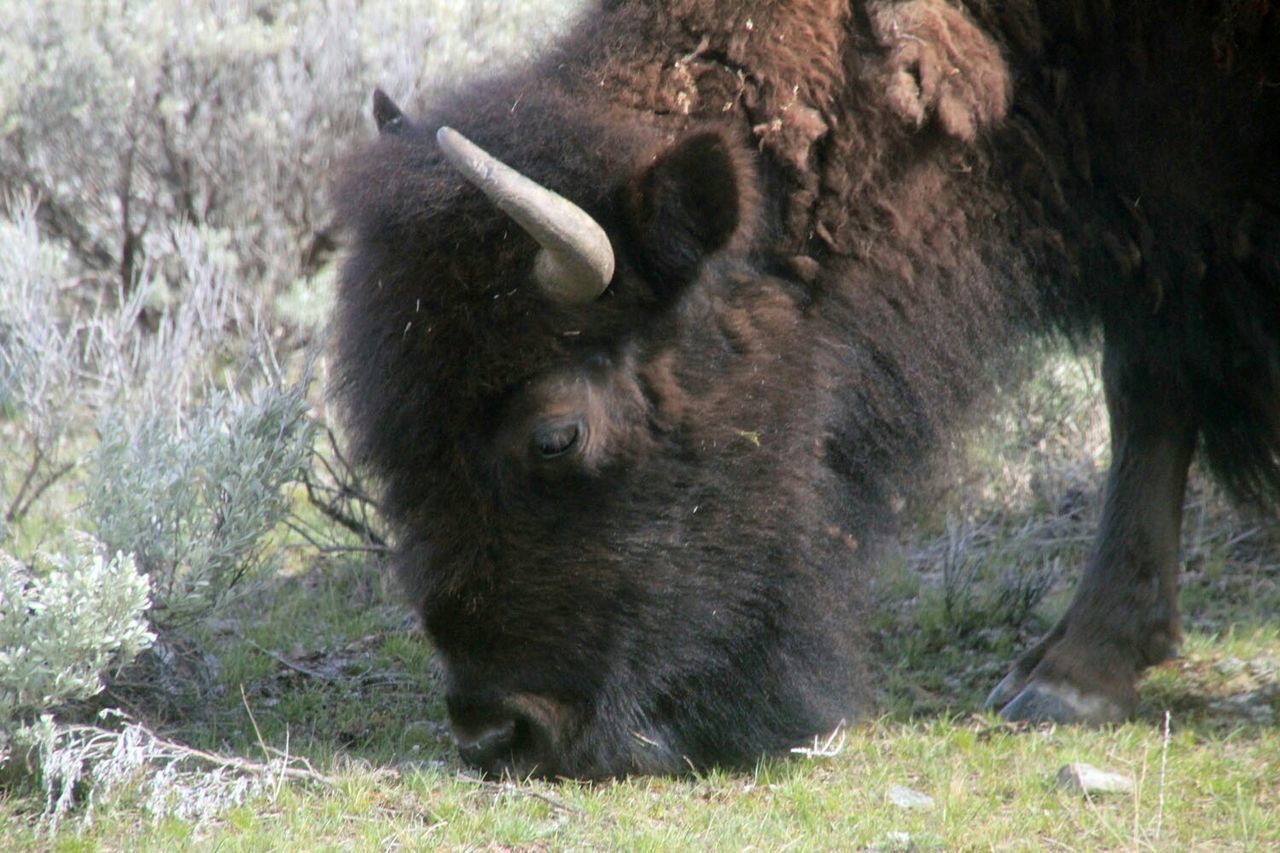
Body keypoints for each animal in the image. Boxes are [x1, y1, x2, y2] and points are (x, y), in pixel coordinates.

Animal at [332, 0, 1280, 778]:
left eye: (555, 433)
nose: (499, 734)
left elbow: (1148, 389)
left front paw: (1068, 675)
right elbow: (1148, 389)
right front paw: (1077, 669)